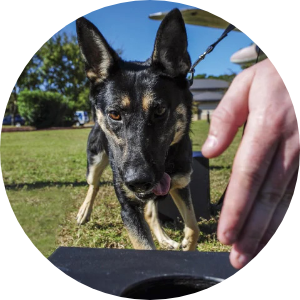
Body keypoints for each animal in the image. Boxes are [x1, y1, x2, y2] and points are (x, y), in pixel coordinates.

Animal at [76, 8, 200, 250]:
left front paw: (185, 244)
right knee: (93, 184)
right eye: (115, 114)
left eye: (159, 110)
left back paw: (164, 239)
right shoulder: (129, 209)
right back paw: (84, 211)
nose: (138, 181)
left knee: (151, 213)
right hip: (95, 160)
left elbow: (193, 228)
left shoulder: (181, 184)